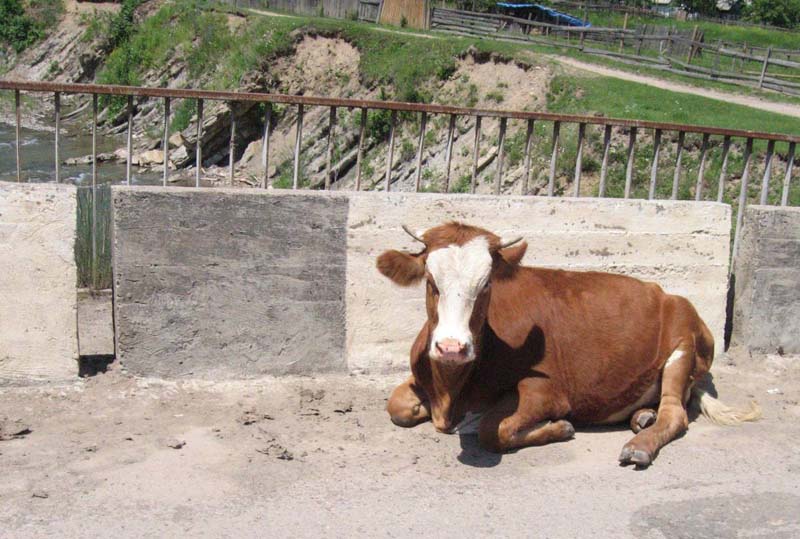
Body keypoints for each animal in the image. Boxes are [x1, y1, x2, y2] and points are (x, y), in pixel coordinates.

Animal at [377, 222, 760, 467]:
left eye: (486, 285)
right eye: (431, 281)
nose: (452, 348)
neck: (451, 391)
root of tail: (667, 294)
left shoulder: (546, 392)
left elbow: (492, 429)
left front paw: (559, 427)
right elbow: (396, 406)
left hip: (684, 344)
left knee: (675, 413)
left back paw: (639, 445)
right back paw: (642, 416)